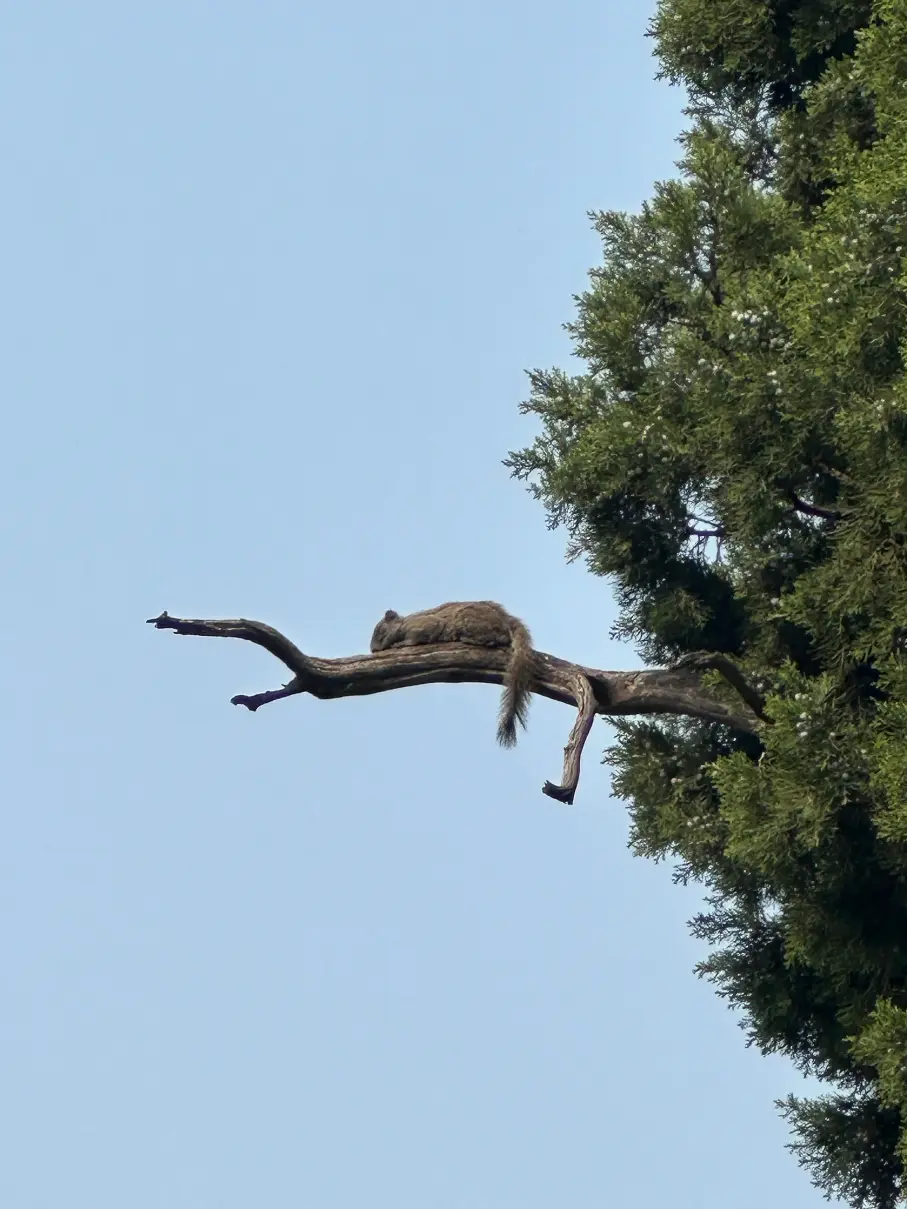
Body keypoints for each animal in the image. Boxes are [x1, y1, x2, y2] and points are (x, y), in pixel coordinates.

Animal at [369, 600, 534, 747]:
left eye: (380, 630)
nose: (373, 650)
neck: (404, 624)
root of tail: (506, 618)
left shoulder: (426, 625)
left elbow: (417, 638)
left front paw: (401, 644)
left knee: (498, 638)